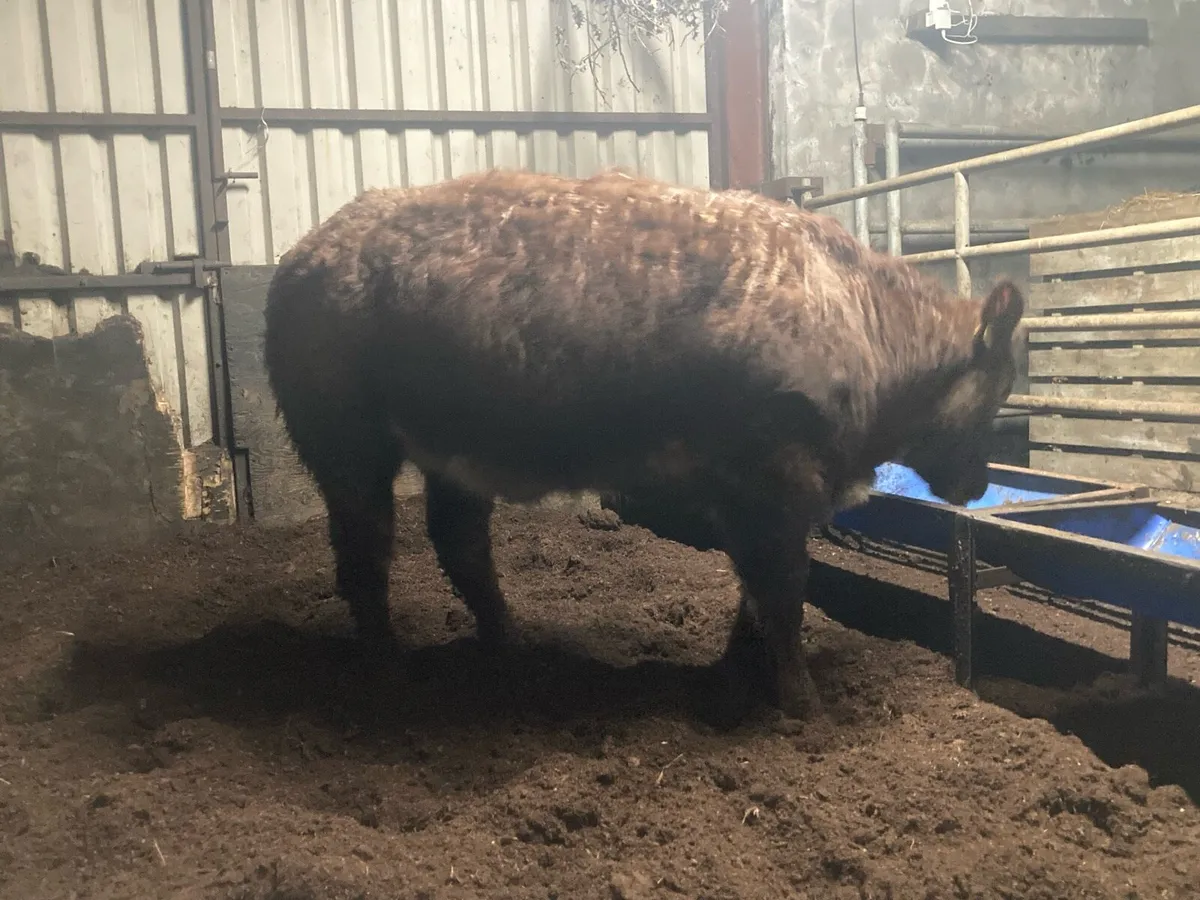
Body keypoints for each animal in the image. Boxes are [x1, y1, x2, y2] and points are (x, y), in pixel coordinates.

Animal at [262, 168, 1025, 728]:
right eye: (999, 388)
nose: (979, 483)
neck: (853, 317)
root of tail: (304, 253)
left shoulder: (753, 501)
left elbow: (754, 596)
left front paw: (731, 680)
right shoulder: (772, 482)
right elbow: (783, 592)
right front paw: (804, 707)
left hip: (454, 454)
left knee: (460, 543)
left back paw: (511, 644)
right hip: (347, 446)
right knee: (365, 553)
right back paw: (387, 667)